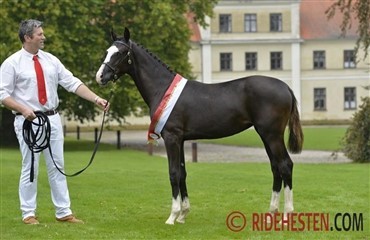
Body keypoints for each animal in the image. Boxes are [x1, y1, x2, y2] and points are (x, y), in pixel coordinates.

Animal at [95, 28, 304, 225]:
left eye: (121, 52)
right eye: (107, 51)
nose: (100, 76)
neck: (162, 89)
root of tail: (286, 87)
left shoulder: (171, 138)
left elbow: (173, 173)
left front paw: (172, 216)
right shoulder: (180, 140)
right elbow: (182, 174)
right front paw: (183, 215)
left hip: (272, 135)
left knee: (285, 166)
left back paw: (287, 215)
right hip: (265, 135)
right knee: (276, 168)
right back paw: (271, 213)